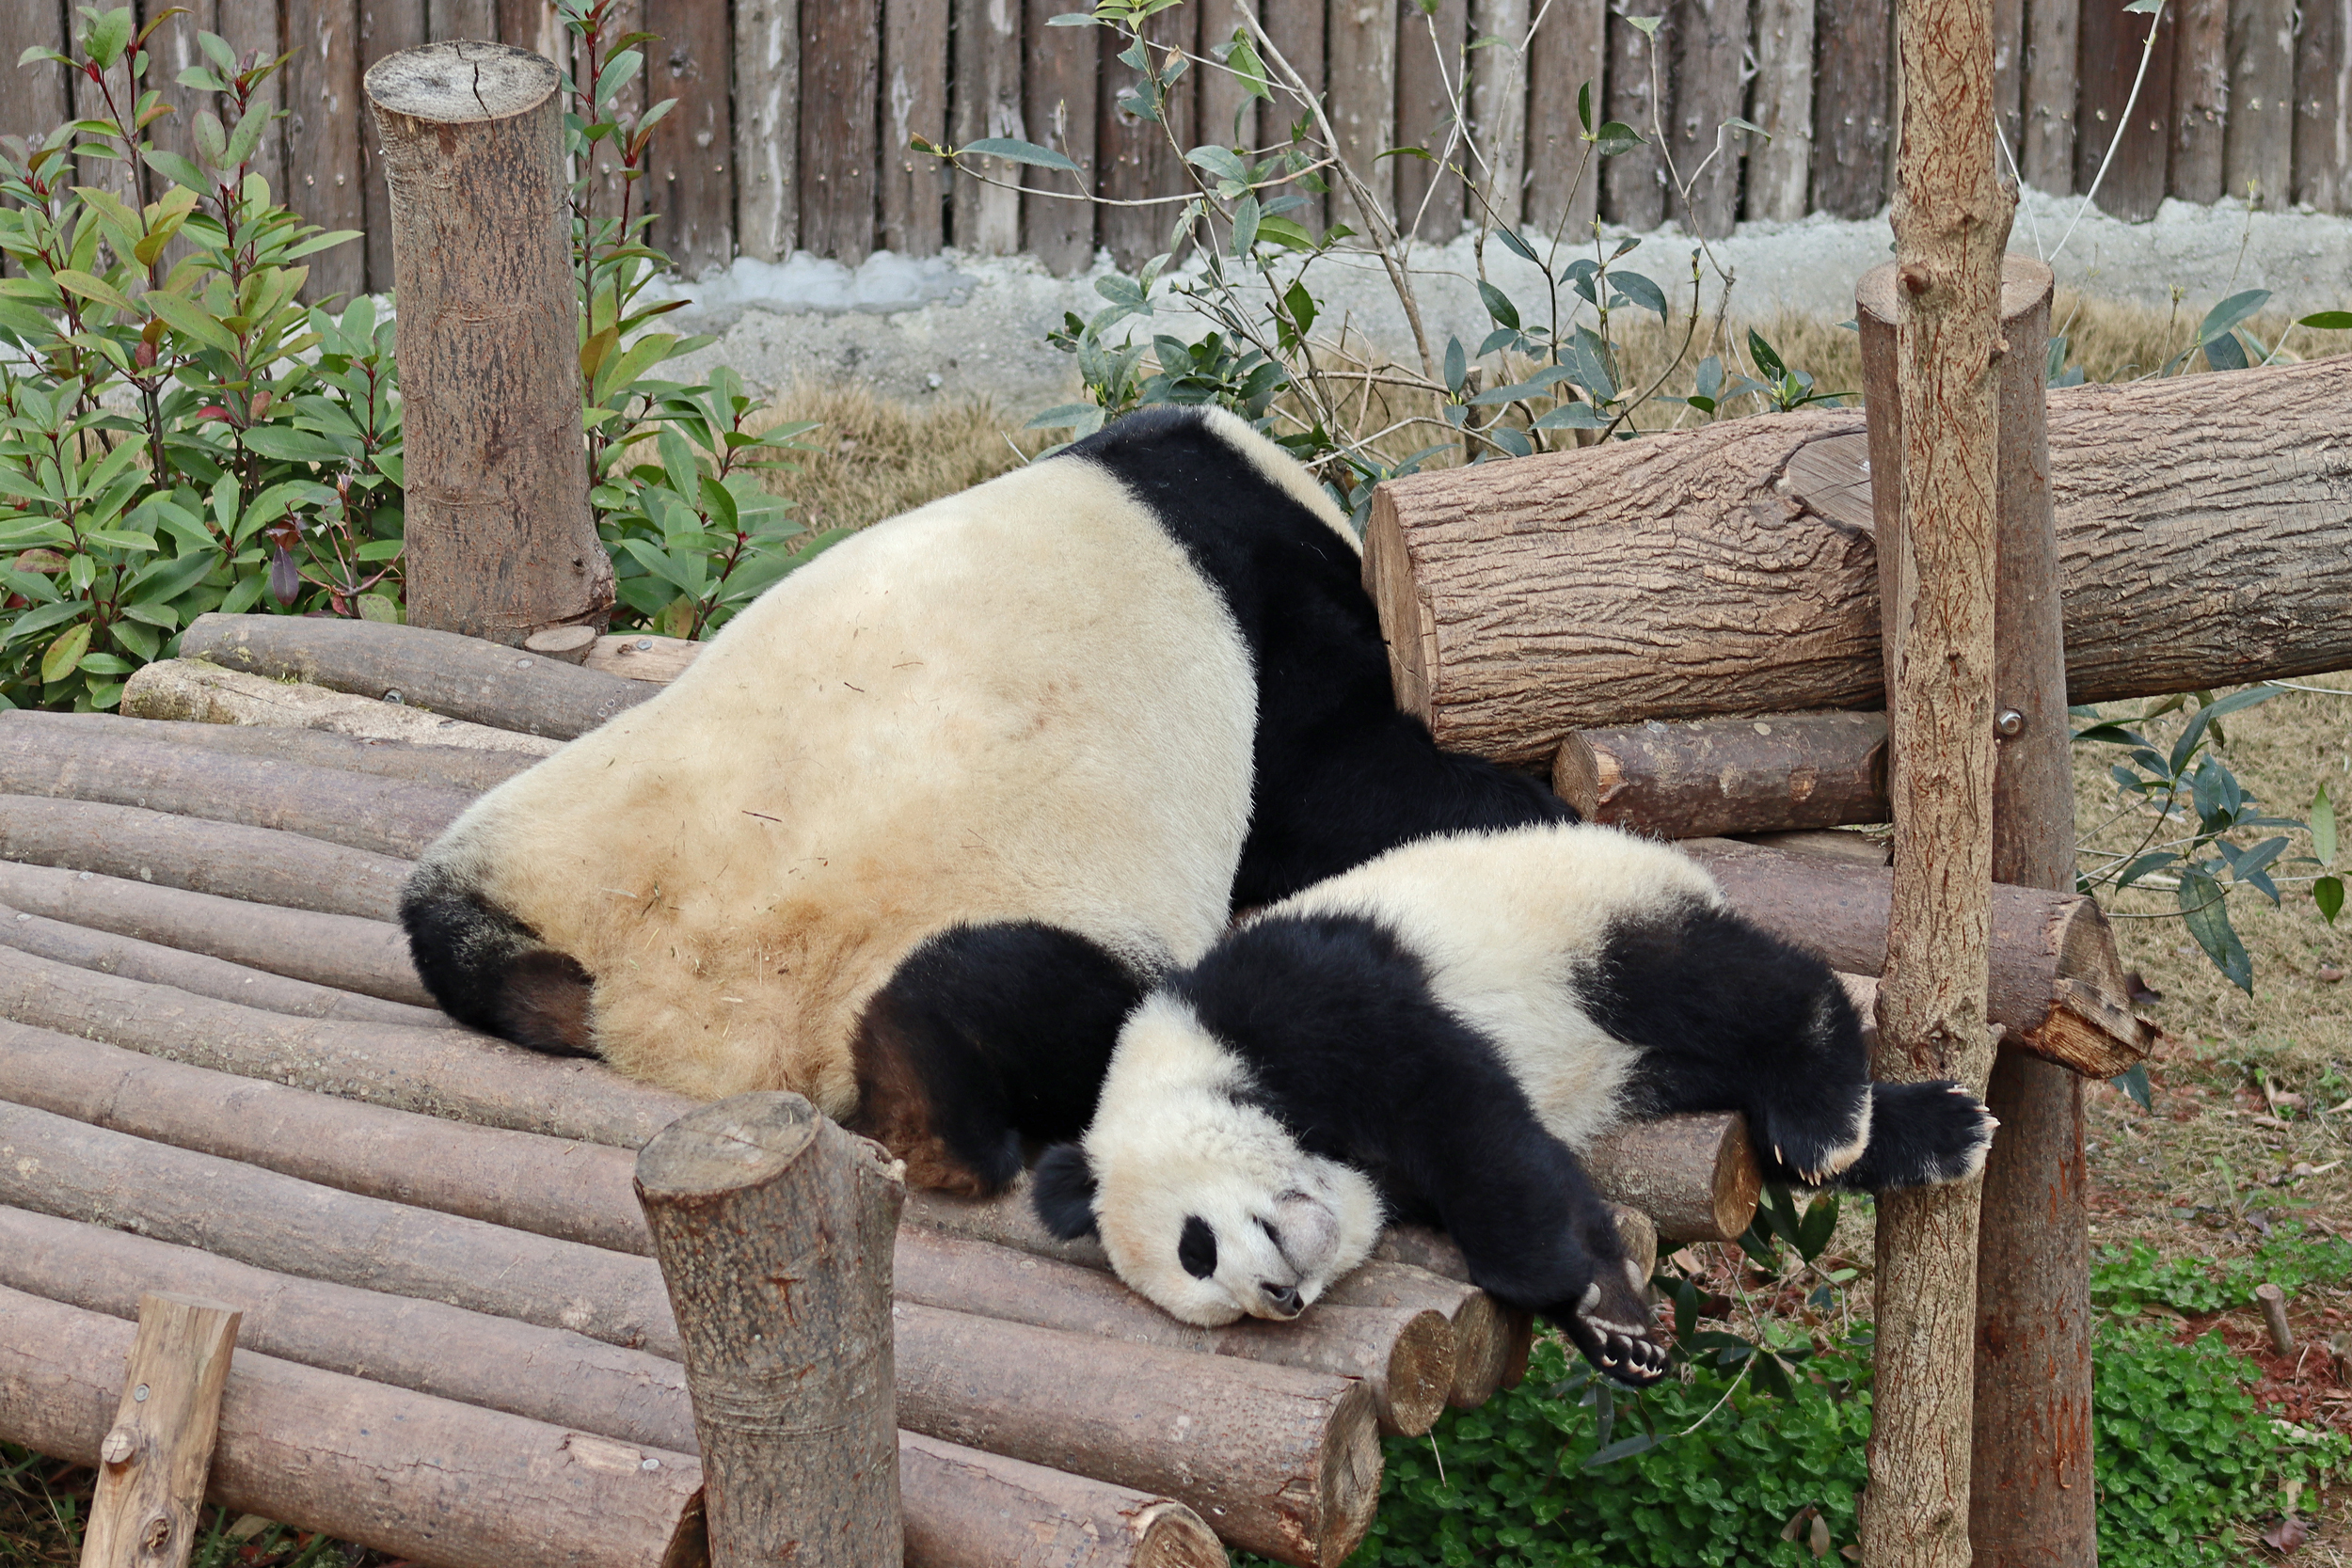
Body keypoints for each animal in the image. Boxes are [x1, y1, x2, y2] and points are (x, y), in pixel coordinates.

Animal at [401, 406, 1570, 1196]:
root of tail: (680, 1022)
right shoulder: (1273, 602)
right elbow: (1334, 784)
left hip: (569, 826)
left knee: (446, 920)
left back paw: (532, 990)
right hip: (1003, 901)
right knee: (1022, 990)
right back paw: (933, 1094)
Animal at [1030, 822, 1998, 1384]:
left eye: (1194, 1247)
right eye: (1216, 1299)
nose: (1281, 1296)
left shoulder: (1310, 997)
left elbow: (1464, 1120)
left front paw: (1570, 1294)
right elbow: (1538, 1176)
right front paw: (1614, 1324)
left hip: (1594, 920)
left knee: (1729, 987)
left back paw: (1825, 1113)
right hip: (1650, 1053)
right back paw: (1940, 1130)